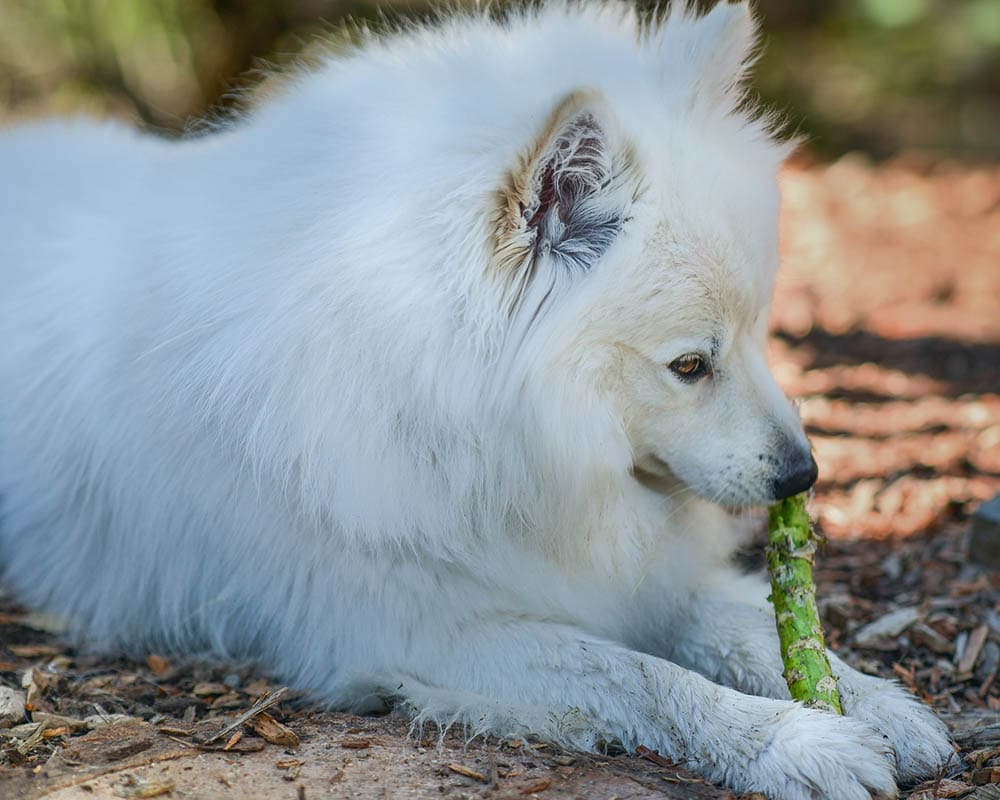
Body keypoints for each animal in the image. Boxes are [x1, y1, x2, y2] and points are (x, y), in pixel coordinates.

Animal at [0, 3, 952, 796]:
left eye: (760, 333)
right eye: (689, 365)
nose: (804, 477)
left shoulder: (627, 575)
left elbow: (742, 629)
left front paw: (877, 704)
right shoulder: (418, 628)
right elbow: (640, 675)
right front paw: (793, 742)